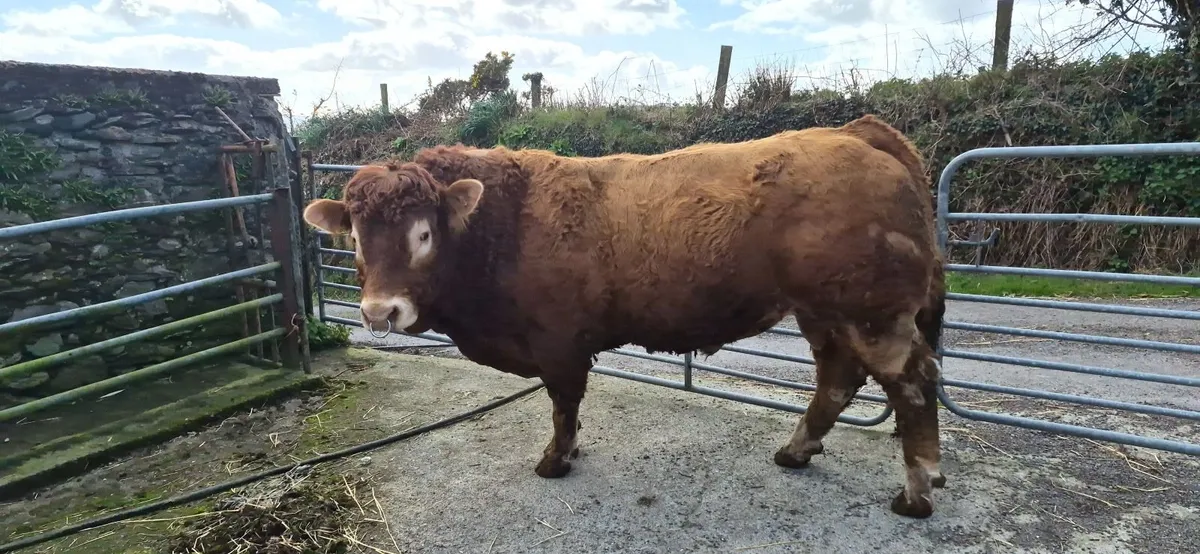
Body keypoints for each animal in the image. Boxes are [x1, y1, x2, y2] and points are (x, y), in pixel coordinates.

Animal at [302, 115, 948, 518]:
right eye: (354, 238)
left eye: (424, 233)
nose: (379, 310)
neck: (505, 223)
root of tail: (855, 132)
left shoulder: (557, 340)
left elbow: (564, 402)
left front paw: (557, 459)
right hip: (825, 312)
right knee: (838, 378)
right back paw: (796, 451)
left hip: (874, 316)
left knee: (913, 384)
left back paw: (917, 493)